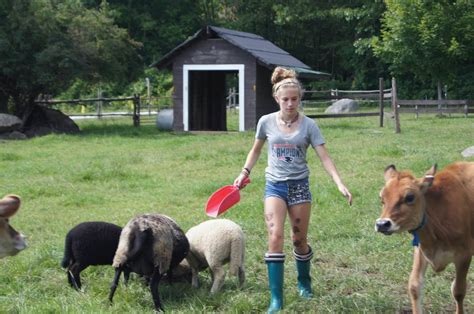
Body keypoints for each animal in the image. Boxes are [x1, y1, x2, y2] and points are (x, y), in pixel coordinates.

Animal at [378, 162, 474, 314]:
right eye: (382, 199)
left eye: (409, 197)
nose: (382, 224)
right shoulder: (421, 250)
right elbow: (414, 287)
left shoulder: (464, 254)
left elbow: (458, 291)